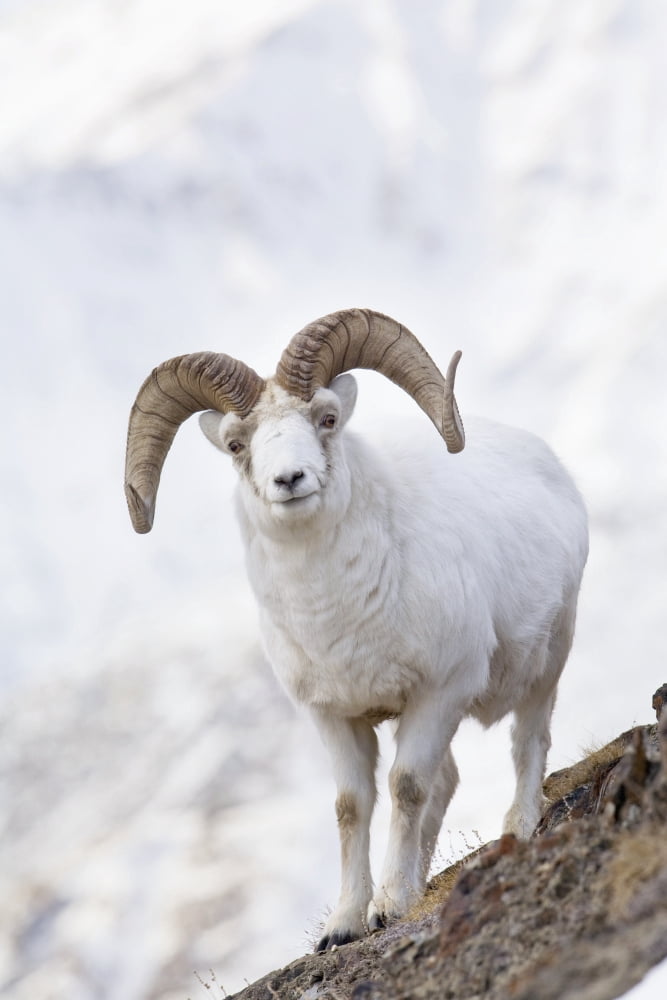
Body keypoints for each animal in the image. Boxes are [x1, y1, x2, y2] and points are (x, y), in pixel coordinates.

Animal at [124, 308, 589, 951]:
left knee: (528, 740)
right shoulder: (334, 717)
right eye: (237, 444)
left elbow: (406, 785)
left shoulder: (439, 693)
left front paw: (389, 907)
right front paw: (345, 923)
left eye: (326, 418)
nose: (290, 479)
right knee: (448, 780)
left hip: (548, 662)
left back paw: (515, 829)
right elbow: (353, 805)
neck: (336, 614)